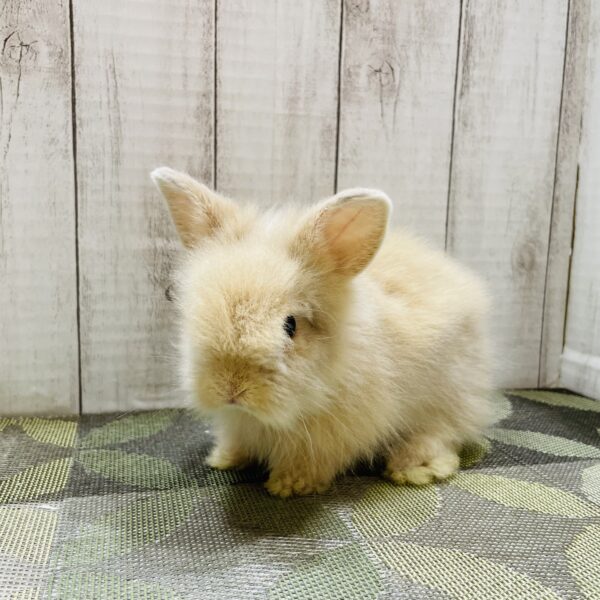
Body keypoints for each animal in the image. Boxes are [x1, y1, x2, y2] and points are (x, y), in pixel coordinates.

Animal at [151, 167, 492, 498]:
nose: (232, 388)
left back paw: (415, 468)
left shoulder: (331, 434)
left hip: (448, 396)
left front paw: (289, 485)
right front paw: (224, 458)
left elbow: (311, 461)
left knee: (443, 432)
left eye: (290, 325)